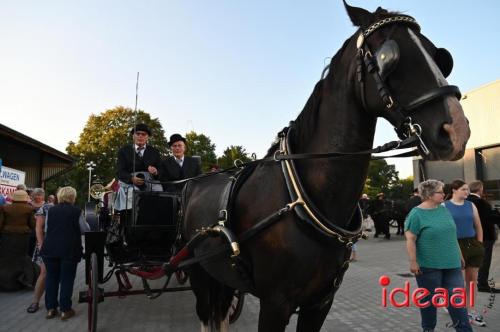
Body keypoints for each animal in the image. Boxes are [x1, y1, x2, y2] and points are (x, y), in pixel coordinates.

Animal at [181, 2, 472, 332]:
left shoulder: (321, 301)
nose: (456, 129)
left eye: (440, 56)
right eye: (388, 57)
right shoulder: (275, 303)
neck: (300, 198)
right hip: (199, 273)